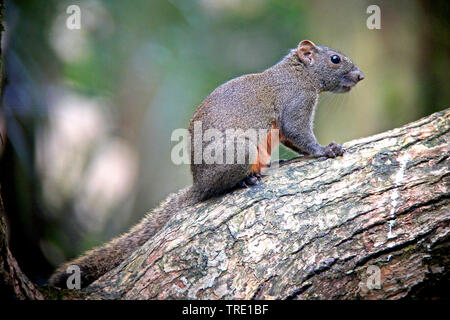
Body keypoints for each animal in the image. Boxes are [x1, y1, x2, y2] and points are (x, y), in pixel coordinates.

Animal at [49, 39, 364, 288]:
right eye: (335, 59)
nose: (360, 76)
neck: (298, 72)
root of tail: (198, 184)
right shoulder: (296, 101)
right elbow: (298, 132)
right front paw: (325, 150)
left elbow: (292, 140)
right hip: (239, 150)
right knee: (218, 188)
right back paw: (244, 180)